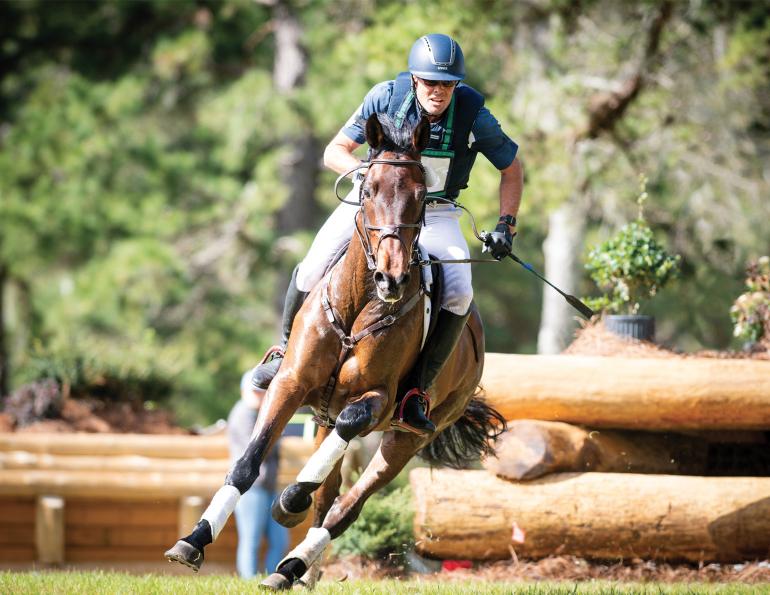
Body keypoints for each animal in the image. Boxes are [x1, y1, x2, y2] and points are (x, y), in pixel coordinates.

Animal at [165, 113, 505, 590]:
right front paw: (194, 540)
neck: (359, 302)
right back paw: (295, 571)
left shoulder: (378, 402)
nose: (391, 278)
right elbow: (248, 463)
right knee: (328, 490)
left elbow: (348, 429)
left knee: (347, 505)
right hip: (323, 419)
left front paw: (289, 500)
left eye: (423, 196)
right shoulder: (291, 383)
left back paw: (293, 559)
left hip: (407, 437)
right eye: (368, 190)